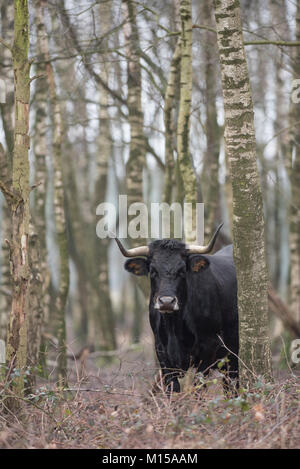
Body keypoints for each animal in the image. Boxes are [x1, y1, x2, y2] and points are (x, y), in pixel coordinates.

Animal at [116, 232, 238, 390]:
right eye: (153, 271)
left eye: (182, 271)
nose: (166, 302)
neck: (174, 326)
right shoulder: (161, 351)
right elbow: (172, 387)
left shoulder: (209, 348)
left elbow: (198, 386)